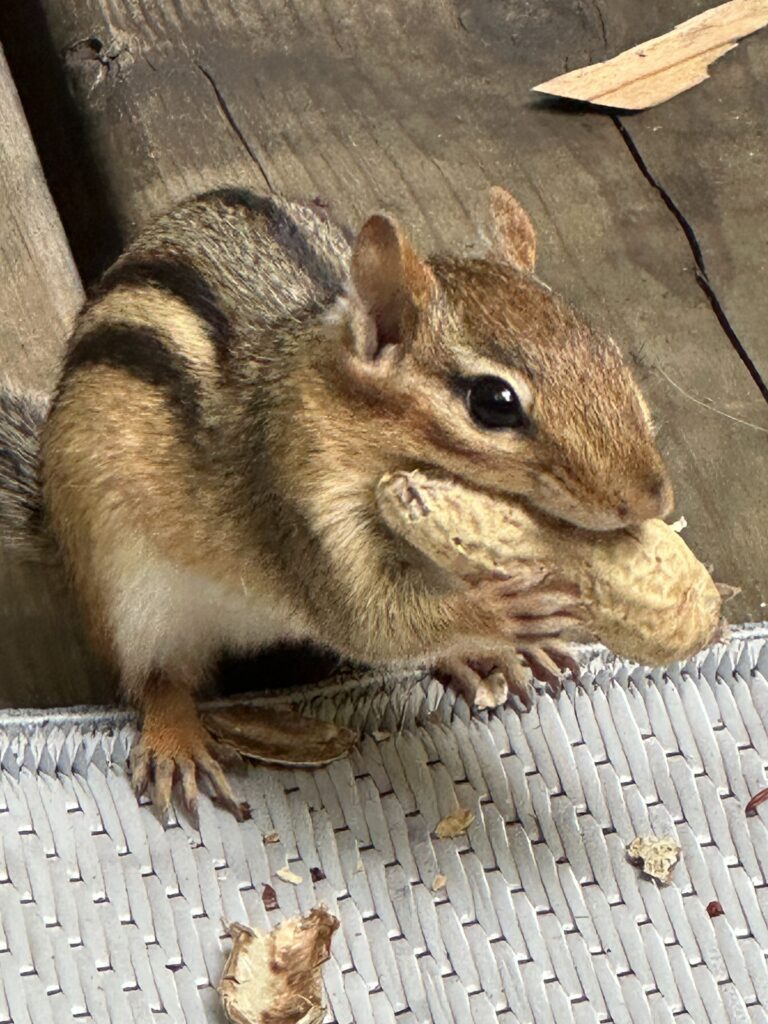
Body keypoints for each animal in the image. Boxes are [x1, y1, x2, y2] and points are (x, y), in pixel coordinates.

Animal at [0, 186, 672, 819]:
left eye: (610, 353)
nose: (650, 497)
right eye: (494, 402)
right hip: (127, 595)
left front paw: (495, 642)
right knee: (155, 677)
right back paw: (175, 741)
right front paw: (495, 614)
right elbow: (368, 619)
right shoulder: (296, 505)